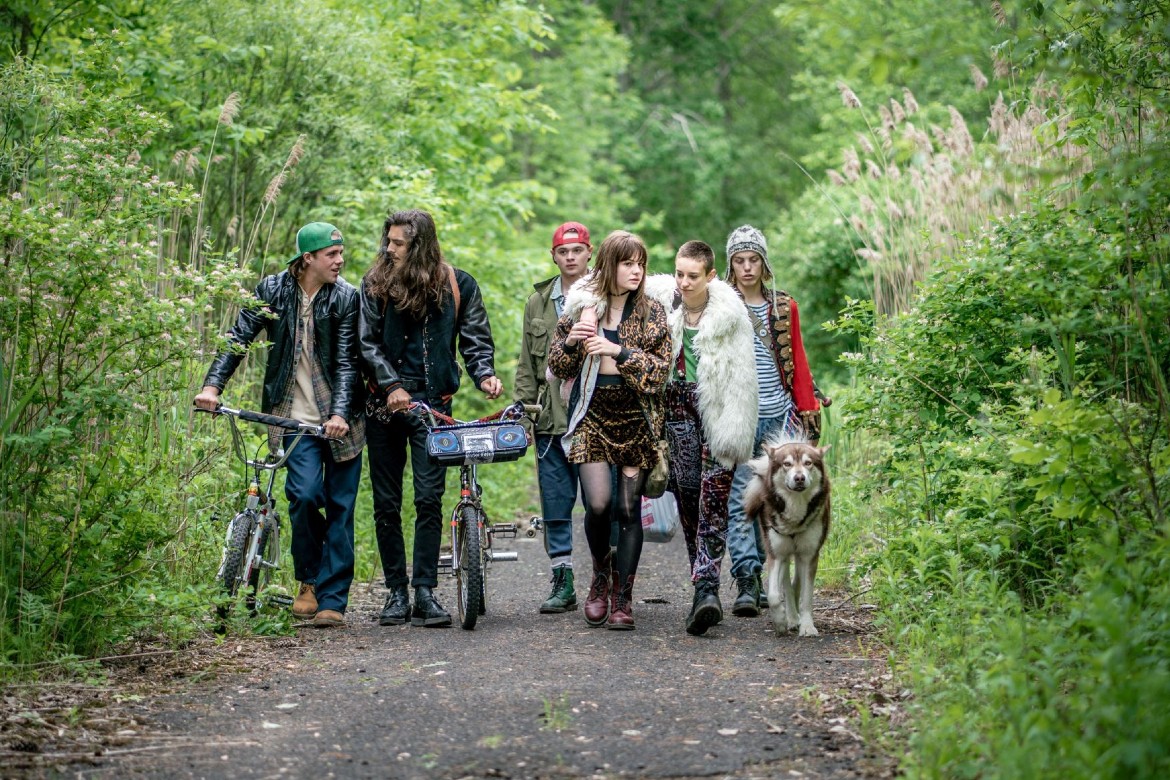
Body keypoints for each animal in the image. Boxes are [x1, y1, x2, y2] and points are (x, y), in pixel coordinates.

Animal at [743, 438, 831, 637]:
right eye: (787, 464)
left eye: (808, 463)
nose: (799, 478)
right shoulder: (776, 554)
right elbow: (775, 595)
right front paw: (781, 621)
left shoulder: (809, 555)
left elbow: (806, 596)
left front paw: (807, 626)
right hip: (783, 551)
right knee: (787, 585)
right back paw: (790, 618)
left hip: (799, 553)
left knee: (796, 583)